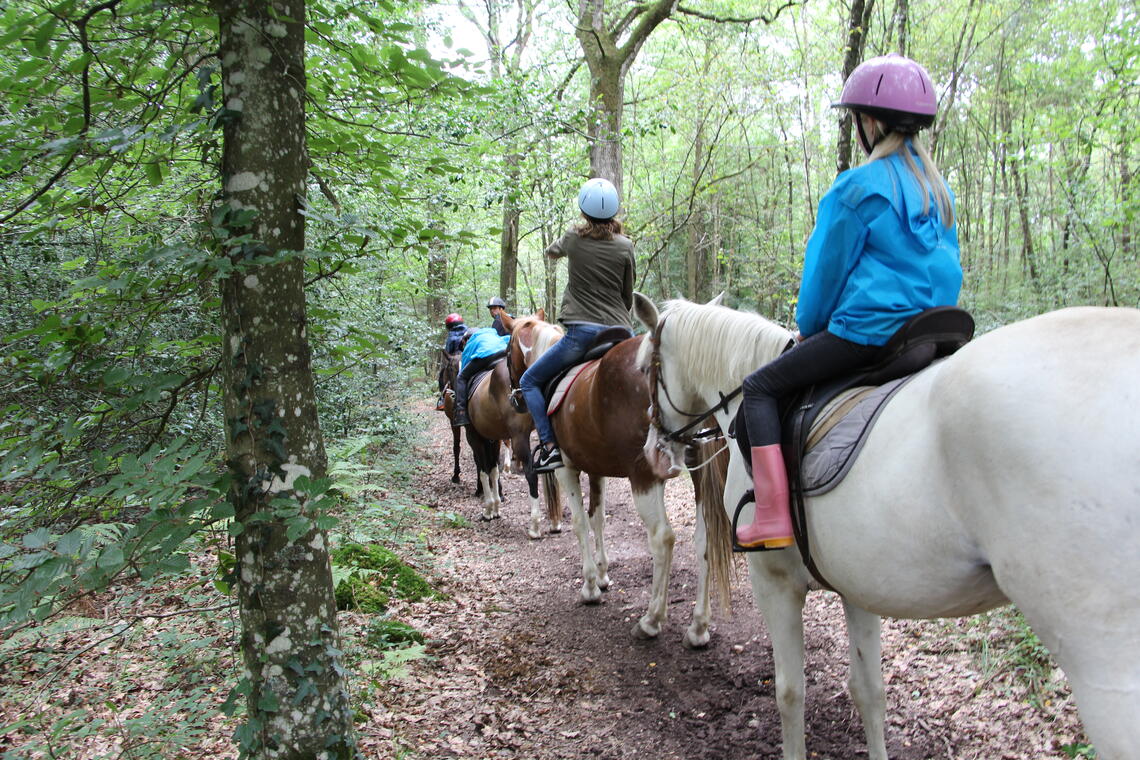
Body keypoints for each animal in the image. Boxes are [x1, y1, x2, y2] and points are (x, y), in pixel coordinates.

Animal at [462, 341, 560, 537]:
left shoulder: (475, 437)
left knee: (531, 473)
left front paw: (489, 509)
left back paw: (535, 526)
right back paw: (555, 523)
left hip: (519, 437)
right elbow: (493, 470)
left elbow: (484, 471)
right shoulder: (493, 438)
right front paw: (496, 506)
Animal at [503, 309, 734, 647]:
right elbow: (597, 517)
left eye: (507, 352)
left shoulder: (566, 468)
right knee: (703, 539)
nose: (515, 398)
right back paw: (698, 627)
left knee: (663, 538)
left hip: (645, 475)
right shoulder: (596, 468)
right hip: (701, 475)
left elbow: (580, 522)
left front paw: (589, 586)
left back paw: (651, 620)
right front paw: (602, 575)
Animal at [633, 291, 1140, 760]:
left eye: (645, 371)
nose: (654, 451)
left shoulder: (774, 581)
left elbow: (789, 692)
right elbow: (869, 693)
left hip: (1107, 669)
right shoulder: (857, 585)